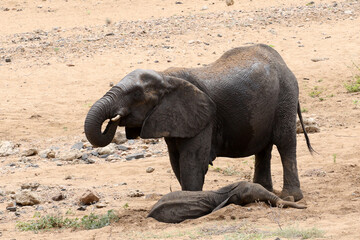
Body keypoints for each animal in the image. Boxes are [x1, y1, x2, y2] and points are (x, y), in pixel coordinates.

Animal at [84, 44, 312, 201]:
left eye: (137, 94)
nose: (114, 119)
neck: (166, 78)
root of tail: (282, 62)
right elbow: (176, 161)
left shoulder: (203, 119)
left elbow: (192, 160)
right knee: (263, 148)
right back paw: (264, 190)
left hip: (285, 96)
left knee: (284, 142)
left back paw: (291, 197)